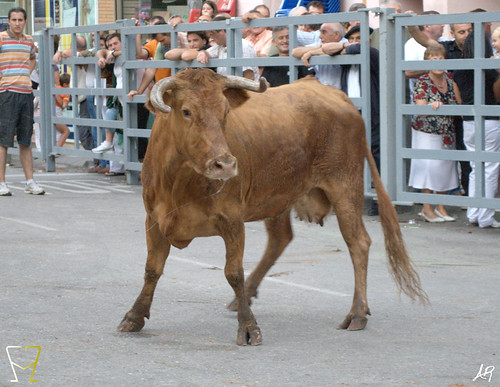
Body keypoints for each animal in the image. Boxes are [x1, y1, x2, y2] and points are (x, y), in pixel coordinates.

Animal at [117, 67, 426, 346]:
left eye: (225, 112)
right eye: (186, 111)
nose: (225, 165)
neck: (179, 180)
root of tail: (335, 95)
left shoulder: (232, 220)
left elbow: (233, 272)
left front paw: (248, 327)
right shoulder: (153, 219)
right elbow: (152, 268)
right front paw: (135, 315)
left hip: (345, 187)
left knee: (358, 242)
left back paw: (357, 313)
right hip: (280, 196)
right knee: (281, 238)